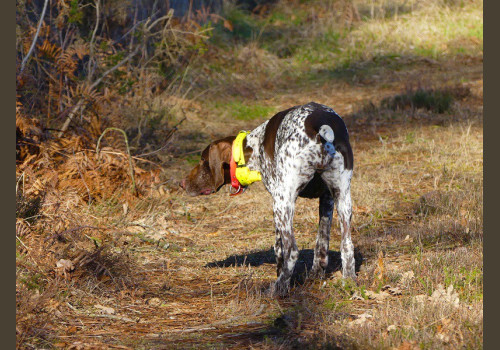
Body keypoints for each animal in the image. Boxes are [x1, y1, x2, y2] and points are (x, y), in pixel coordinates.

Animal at [180, 102, 356, 296]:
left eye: (203, 160)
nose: (182, 183)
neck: (254, 146)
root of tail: (318, 126)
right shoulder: (327, 199)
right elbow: (322, 244)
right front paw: (315, 275)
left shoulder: (279, 202)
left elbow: (279, 249)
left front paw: (280, 277)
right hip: (343, 198)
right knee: (347, 245)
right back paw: (349, 282)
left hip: (282, 203)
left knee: (292, 250)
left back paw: (279, 288)